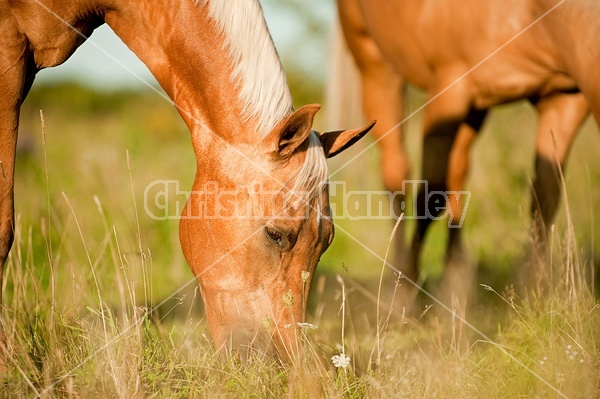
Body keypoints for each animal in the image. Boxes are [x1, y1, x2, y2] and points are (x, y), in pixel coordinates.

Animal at [332, 0, 596, 312]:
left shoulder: (563, 99)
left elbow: (544, 199)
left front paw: (534, 292)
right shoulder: (449, 88)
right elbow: (429, 197)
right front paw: (406, 294)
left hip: (475, 110)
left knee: (456, 174)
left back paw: (455, 284)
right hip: (376, 66)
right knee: (397, 173)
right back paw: (396, 281)